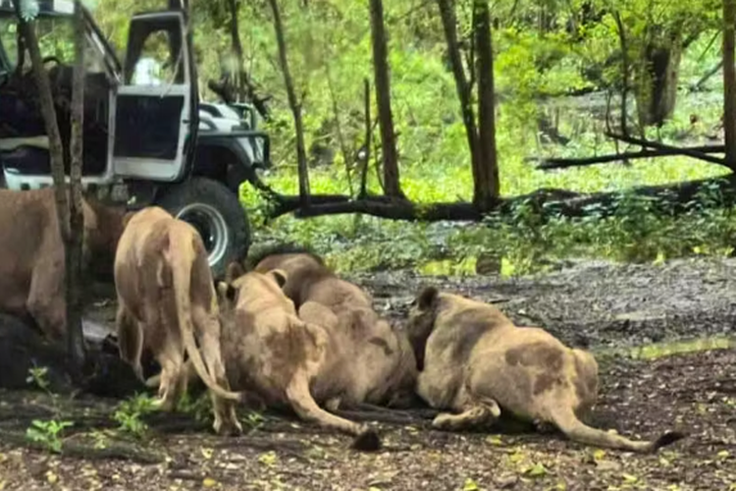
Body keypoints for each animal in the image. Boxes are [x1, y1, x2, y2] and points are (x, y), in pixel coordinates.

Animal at [114, 206, 242, 435]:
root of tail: (178, 232)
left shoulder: (125, 306)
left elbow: (130, 343)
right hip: (203, 302)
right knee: (217, 370)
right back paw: (227, 425)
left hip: (156, 311)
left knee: (175, 367)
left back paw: (159, 405)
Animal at [405, 286, 685, 453]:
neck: (449, 306)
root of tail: (558, 389)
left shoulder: (437, 384)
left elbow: (417, 379)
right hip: (585, 357)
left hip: (481, 367)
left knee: (490, 411)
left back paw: (445, 421)